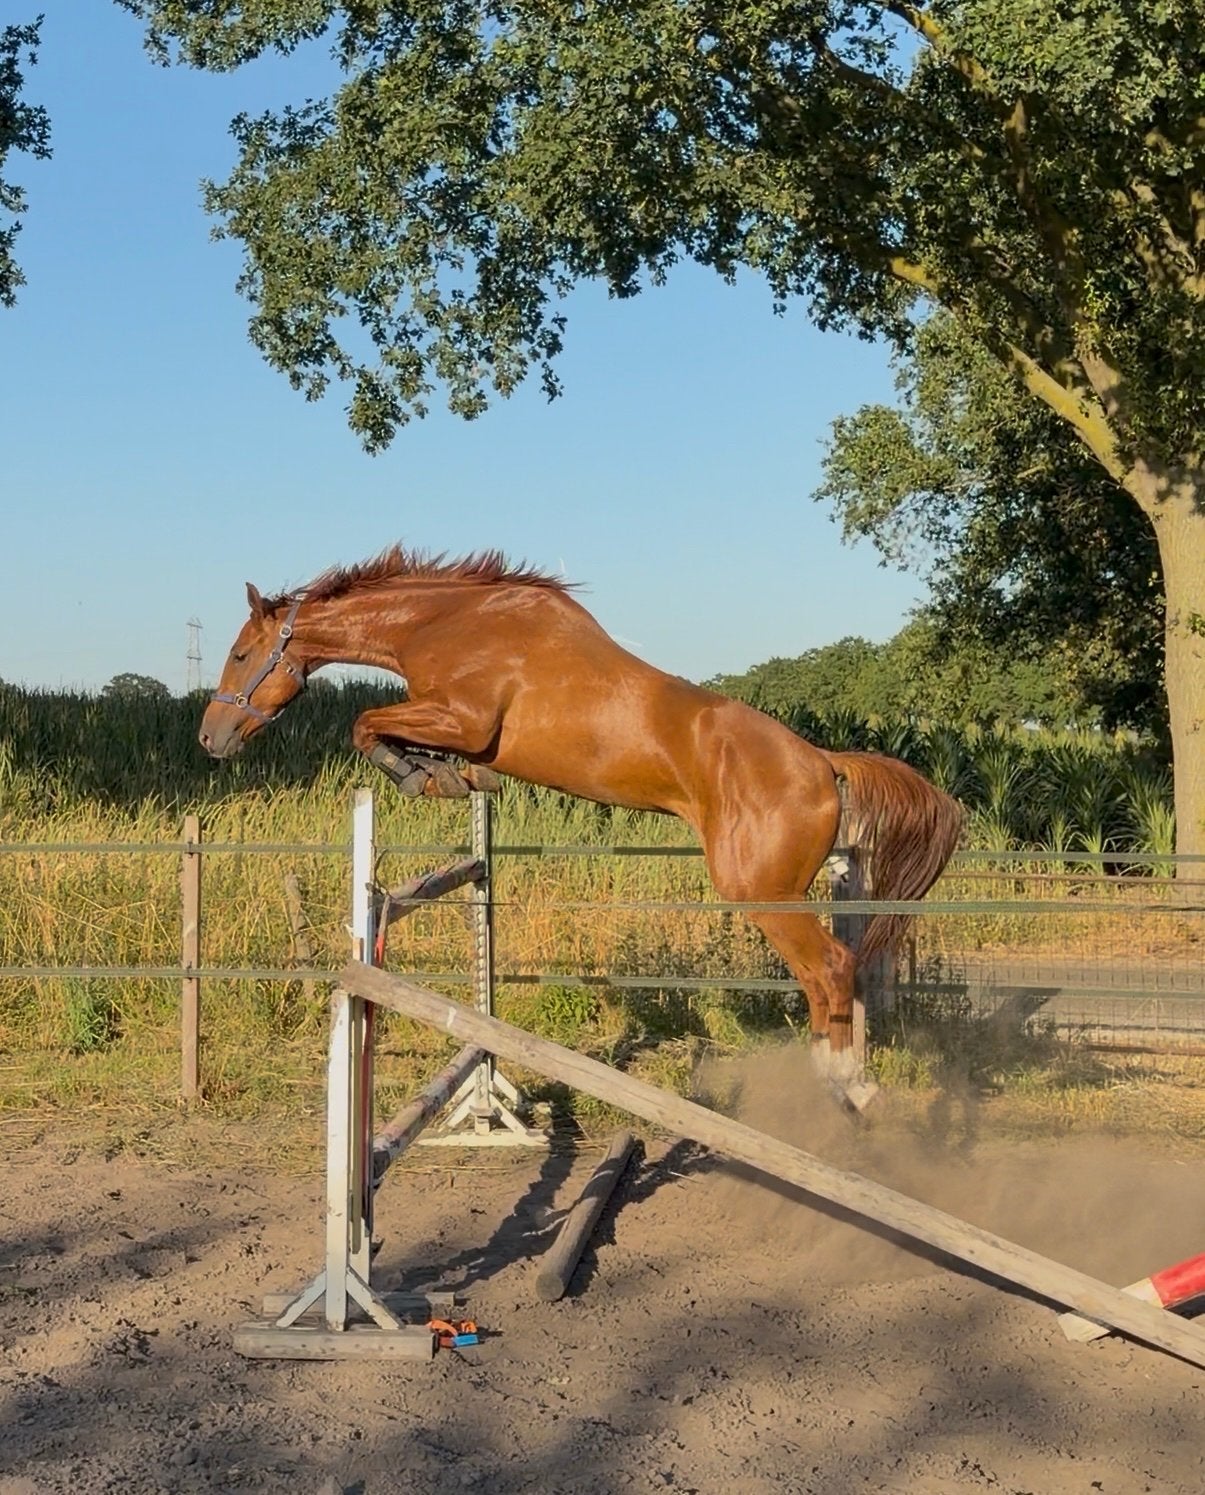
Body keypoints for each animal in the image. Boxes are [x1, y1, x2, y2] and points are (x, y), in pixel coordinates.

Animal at [199, 544, 964, 1111]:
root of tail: (823, 762)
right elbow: (390, 733)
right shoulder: (452, 724)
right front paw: (452, 777)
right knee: (833, 974)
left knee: (829, 969)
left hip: (761, 891)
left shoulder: (462, 717)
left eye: (238, 654)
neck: (444, 622)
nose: (211, 737)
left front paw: (427, 776)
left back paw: (847, 1083)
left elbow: (366, 725)